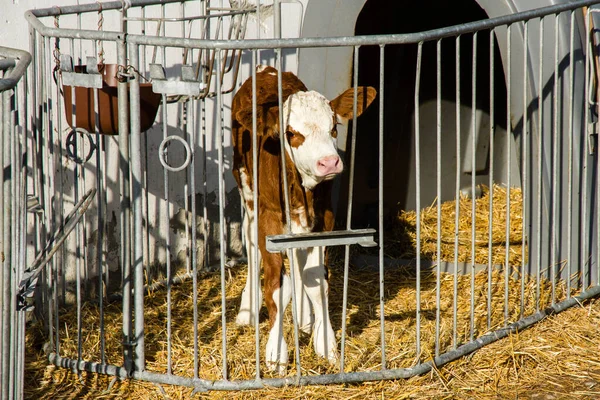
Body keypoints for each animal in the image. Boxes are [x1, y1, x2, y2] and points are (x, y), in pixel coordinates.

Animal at [231, 64, 376, 374]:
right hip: (246, 188)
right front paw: (276, 354)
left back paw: (304, 319)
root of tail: (267, 70)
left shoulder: (325, 217)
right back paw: (248, 311)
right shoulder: (269, 218)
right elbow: (275, 283)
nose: (329, 162)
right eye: (290, 133)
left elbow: (315, 279)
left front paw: (326, 343)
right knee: (251, 243)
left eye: (334, 128)